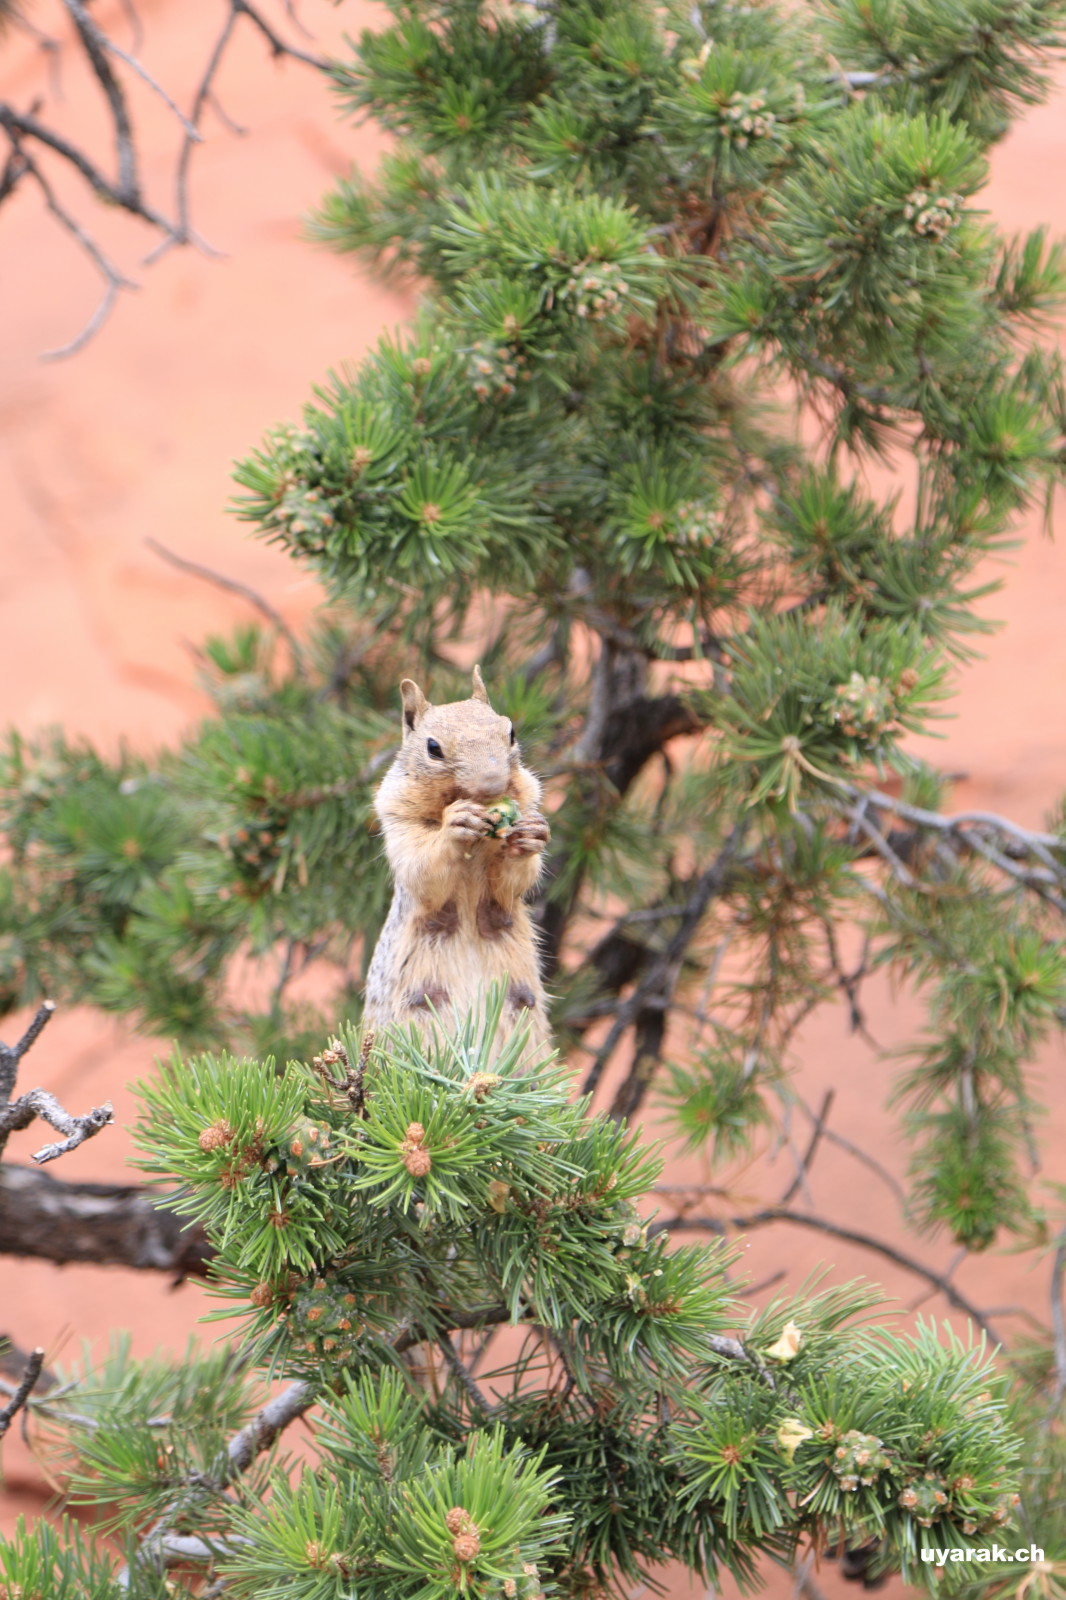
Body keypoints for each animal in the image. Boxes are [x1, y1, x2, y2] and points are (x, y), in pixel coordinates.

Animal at [363, 666, 552, 1052]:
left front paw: (531, 835)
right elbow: (423, 870)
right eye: (433, 748)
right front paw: (456, 824)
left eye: (511, 731)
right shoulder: (399, 822)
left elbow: (511, 884)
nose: (492, 783)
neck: (476, 847)